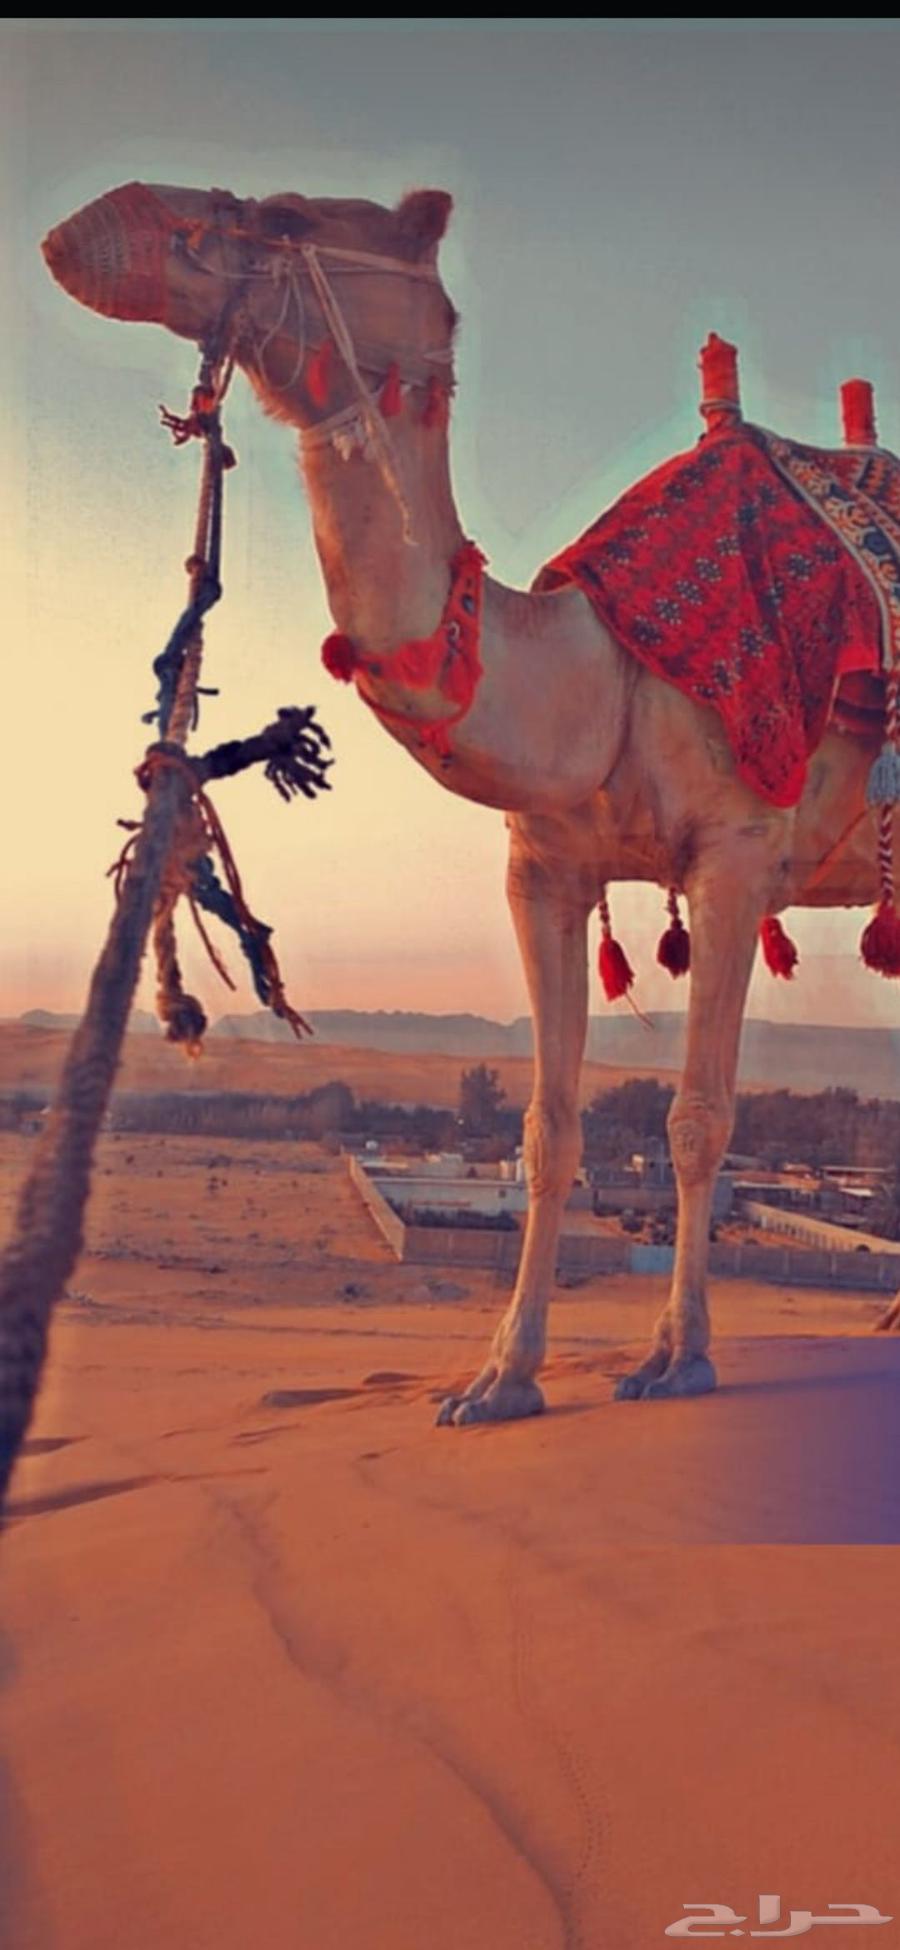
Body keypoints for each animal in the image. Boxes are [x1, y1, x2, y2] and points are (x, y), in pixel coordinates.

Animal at [40, 181, 900, 1424]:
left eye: (281, 214)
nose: (91, 227)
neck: (599, 671)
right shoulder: (542, 868)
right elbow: (548, 1129)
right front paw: (502, 1377)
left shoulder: (735, 860)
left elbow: (697, 1119)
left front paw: (677, 1358)